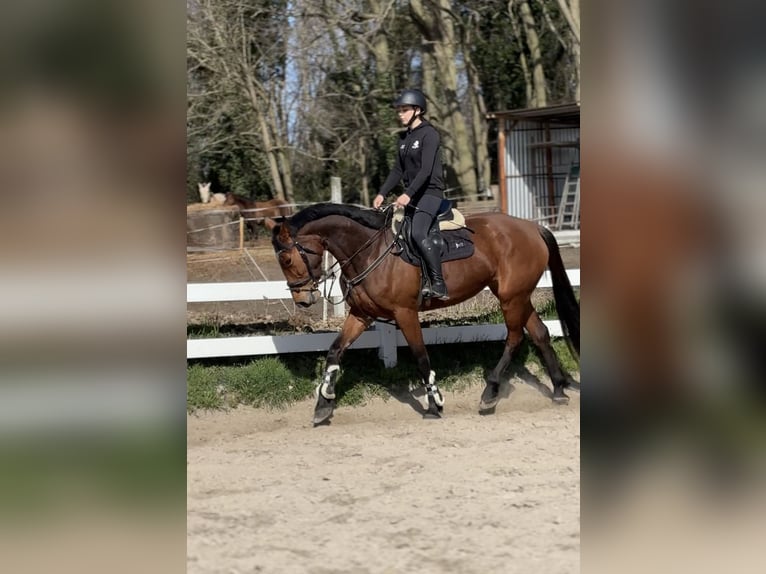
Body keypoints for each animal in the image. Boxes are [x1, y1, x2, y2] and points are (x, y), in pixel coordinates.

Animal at [266, 203, 580, 425]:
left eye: (287, 259)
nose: (303, 300)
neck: (370, 251)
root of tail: (532, 228)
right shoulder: (361, 314)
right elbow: (334, 352)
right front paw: (324, 403)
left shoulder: (405, 313)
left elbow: (420, 356)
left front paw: (434, 404)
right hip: (517, 295)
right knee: (539, 332)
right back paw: (558, 389)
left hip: (511, 298)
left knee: (514, 338)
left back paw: (490, 392)